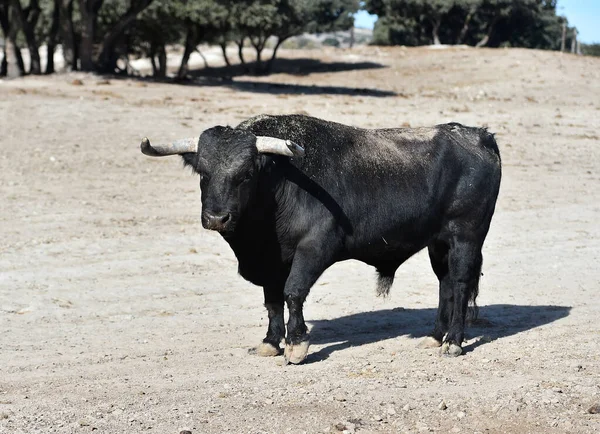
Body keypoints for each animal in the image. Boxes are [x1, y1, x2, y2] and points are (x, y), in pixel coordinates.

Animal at [142, 114, 502, 362]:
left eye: (246, 174)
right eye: (203, 173)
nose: (217, 218)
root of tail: (479, 135)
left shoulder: (313, 250)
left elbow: (293, 293)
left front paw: (296, 345)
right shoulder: (270, 262)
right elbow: (272, 300)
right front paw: (271, 342)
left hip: (466, 236)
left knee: (459, 283)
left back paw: (453, 342)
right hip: (437, 242)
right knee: (445, 283)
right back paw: (435, 336)